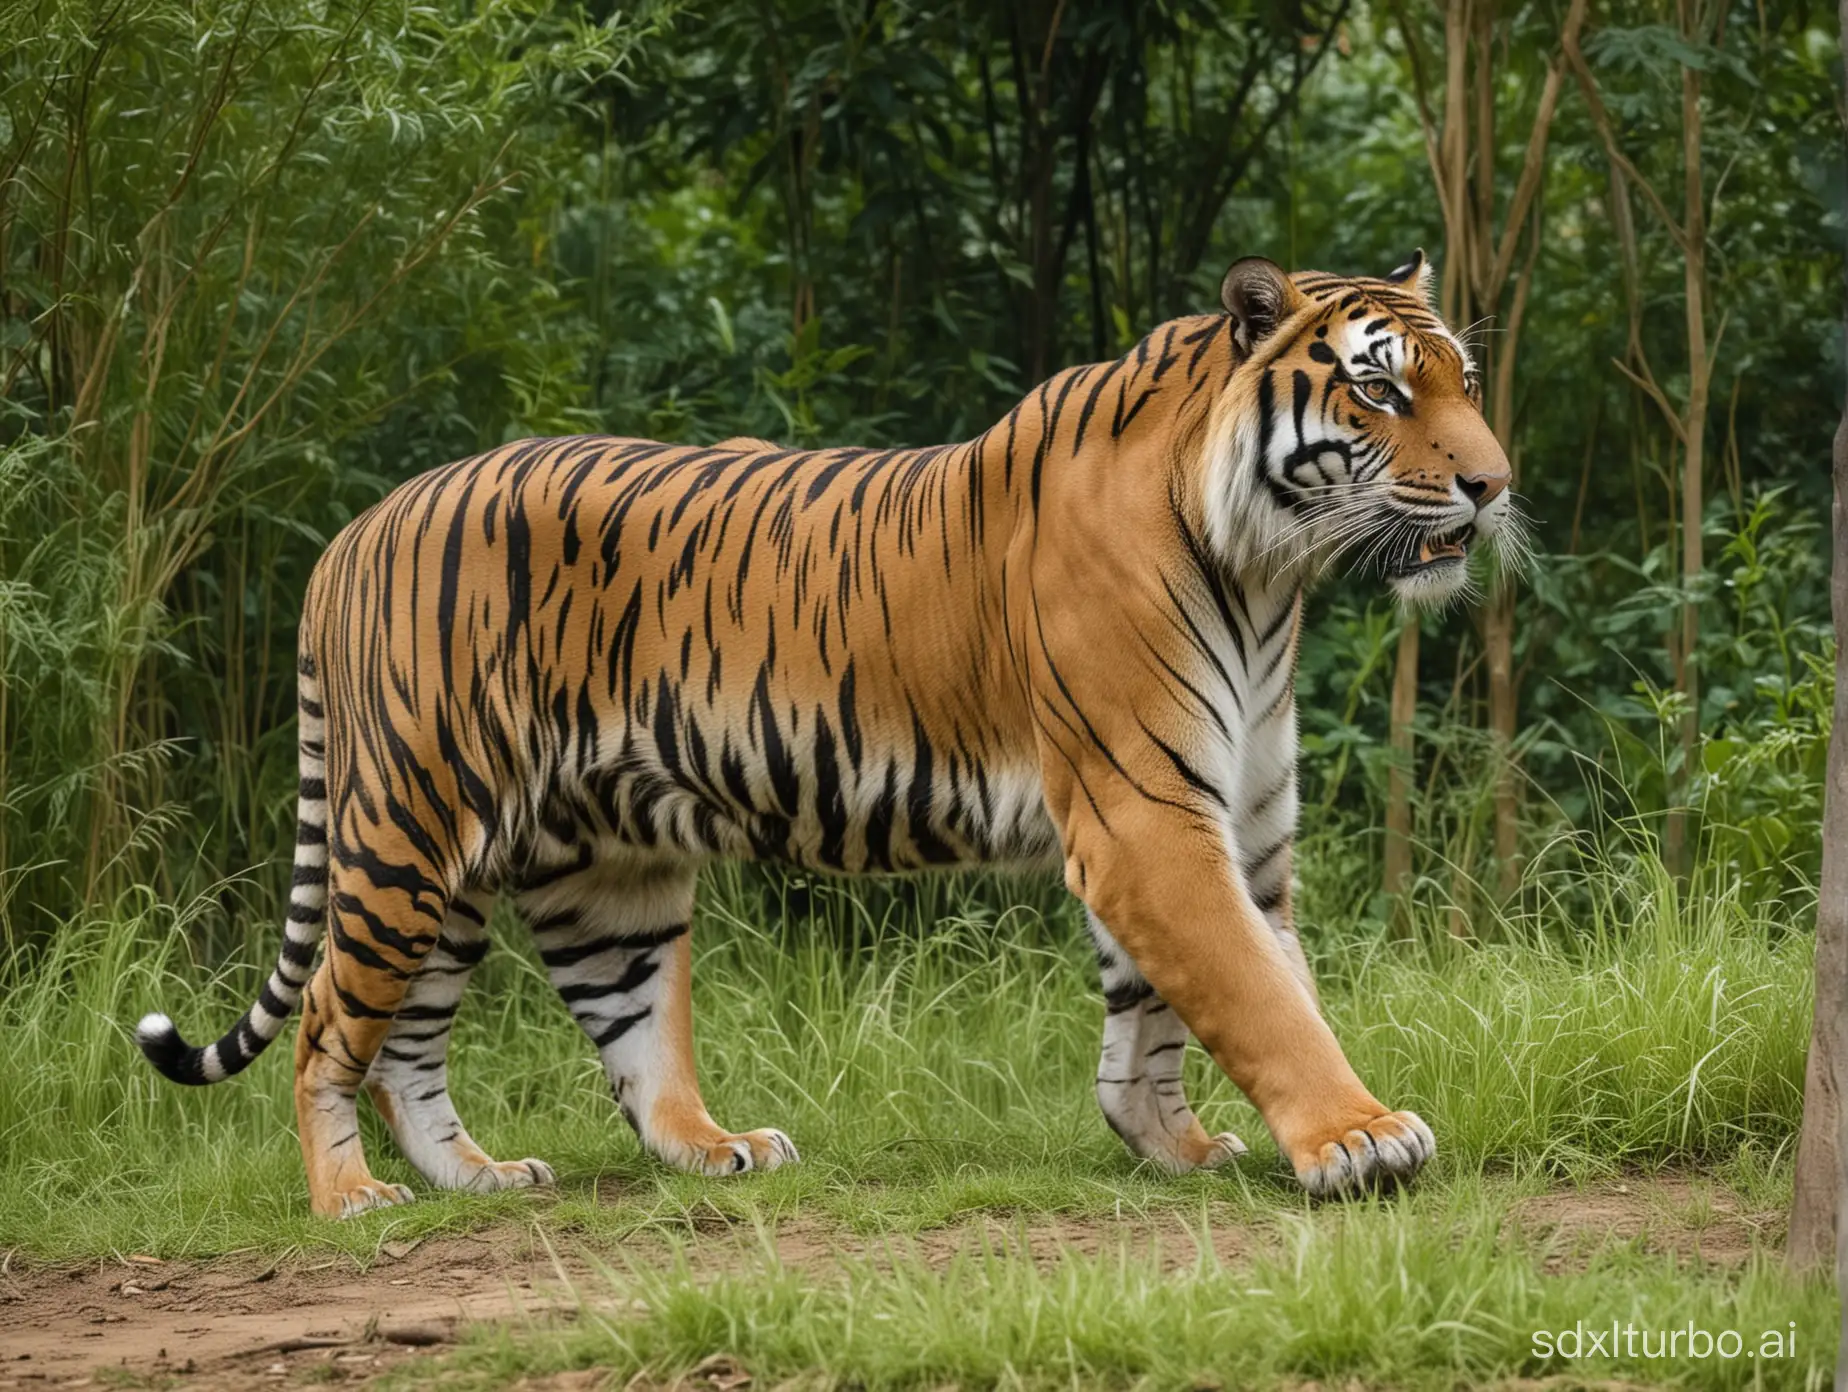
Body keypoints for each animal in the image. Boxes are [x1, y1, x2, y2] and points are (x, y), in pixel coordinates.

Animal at [136, 253, 1507, 1212]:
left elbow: (1183, 999)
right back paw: (352, 1197)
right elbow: (1258, 995)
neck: (1269, 579)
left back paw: (602, 1163)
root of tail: (356, 531)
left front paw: (1167, 1140)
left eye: (1467, 385)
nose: (1494, 485)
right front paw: (1358, 1138)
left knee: (521, 1043)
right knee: (332, 1030)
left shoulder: (1235, 827)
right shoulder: (1146, 817)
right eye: (1379, 388)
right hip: (404, 839)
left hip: (581, 873)